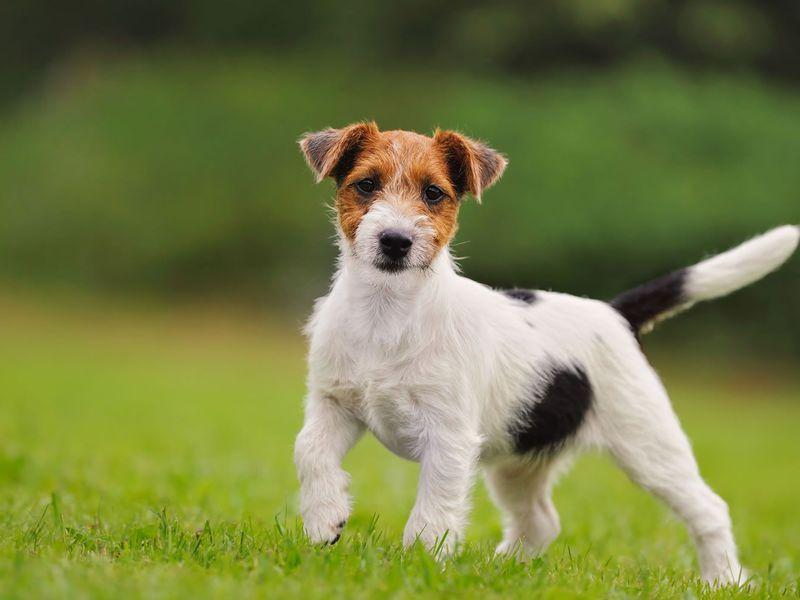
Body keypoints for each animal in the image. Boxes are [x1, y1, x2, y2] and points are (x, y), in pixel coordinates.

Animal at [296, 122, 800, 584]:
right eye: (366, 184)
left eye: (434, 193)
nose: (396, 241)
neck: (388, 311)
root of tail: (613, 313)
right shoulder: (334, 403)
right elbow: (309, 450)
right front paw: (325, 518)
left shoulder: (448, 436)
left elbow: (434, 507)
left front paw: (419, 562)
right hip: (521, 458)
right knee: (540, 521)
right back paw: (501, 568)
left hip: (649, 445)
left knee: (709, 508)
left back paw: (723, 579)